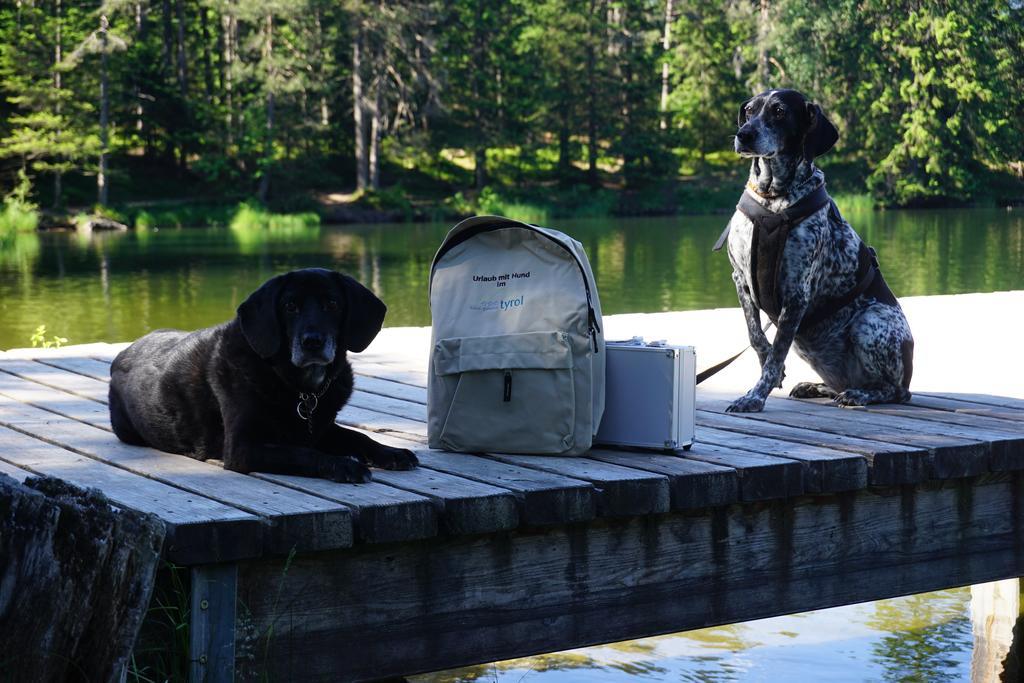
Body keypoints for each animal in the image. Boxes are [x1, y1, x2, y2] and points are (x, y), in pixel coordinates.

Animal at [108, 270, 415, 483]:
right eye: (290, 306)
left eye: (332, 303)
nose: (312, 342)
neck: (297, 387)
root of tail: (123, 353)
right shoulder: (243, 448)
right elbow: (302, 453)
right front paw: (344, 465)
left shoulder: (321, 428)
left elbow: (358, 437)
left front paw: (392, 452)